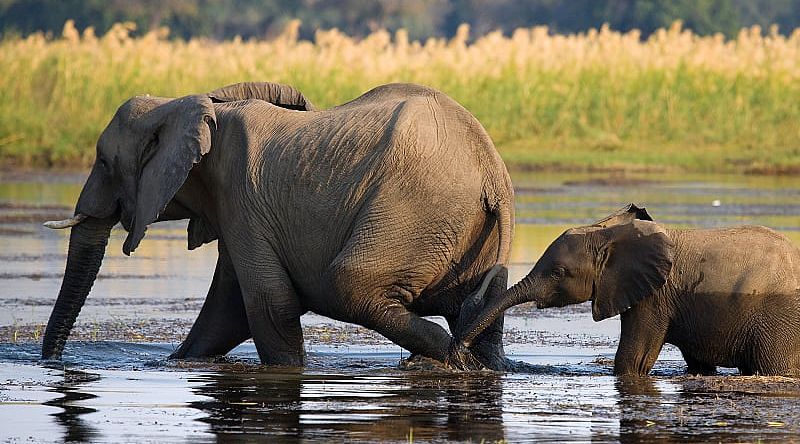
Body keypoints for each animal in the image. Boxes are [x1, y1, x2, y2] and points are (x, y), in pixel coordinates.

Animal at [42, 81, 512, 370]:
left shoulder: (241, 197)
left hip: (412, 208)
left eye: (104, 162)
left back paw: (454, 361)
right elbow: (226, 309)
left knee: (349, 285)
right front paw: (176, 363)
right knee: (475, 314)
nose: (53, 362)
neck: (180, 103)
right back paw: (474, 363)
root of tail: (492, 171)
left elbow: (269, 303)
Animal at [454, 204, 800, 374]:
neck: (607, 235)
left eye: (558, 273)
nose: (461, 353)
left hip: (778, 320)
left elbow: (633, 361)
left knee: (774, 367)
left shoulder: (654, 298)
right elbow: (699, 366)